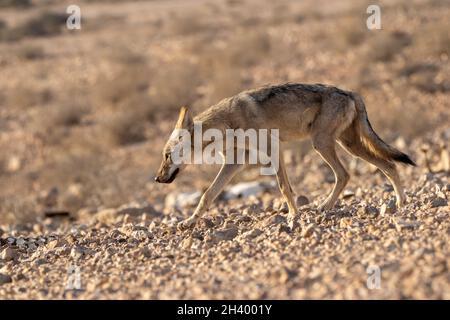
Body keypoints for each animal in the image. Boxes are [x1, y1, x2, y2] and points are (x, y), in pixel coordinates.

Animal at [155, 82, 414, 230]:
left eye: (167, 155)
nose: (157, 179)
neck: (225, 124)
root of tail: (351, 92)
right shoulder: (235, 162)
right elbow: (207, 194)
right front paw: (189, 222)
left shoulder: (272, 148)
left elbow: (283, 187)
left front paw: (293, 216)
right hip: (347, 144)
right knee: (386, 166)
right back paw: (397, 202)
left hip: (323, 144)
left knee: (348, 173)